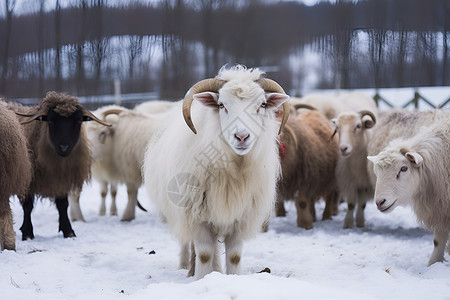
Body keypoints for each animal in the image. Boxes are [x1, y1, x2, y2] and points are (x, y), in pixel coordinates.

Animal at [145, 65, 292, 278]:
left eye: (262, 104)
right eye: (222, 105)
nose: (242, 137)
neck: (234, 170)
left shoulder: (239, 218)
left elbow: (234, 257)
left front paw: (230, 277)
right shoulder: (197, 218)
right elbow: (205, 254)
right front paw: (202, 278)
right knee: (187, 242)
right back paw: (187, 267)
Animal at [370, 120, 450, 266]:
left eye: (403, 168)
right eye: (377, 173)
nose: (379, 202)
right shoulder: (440, 207)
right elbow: (438, 241)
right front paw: (433, 264)